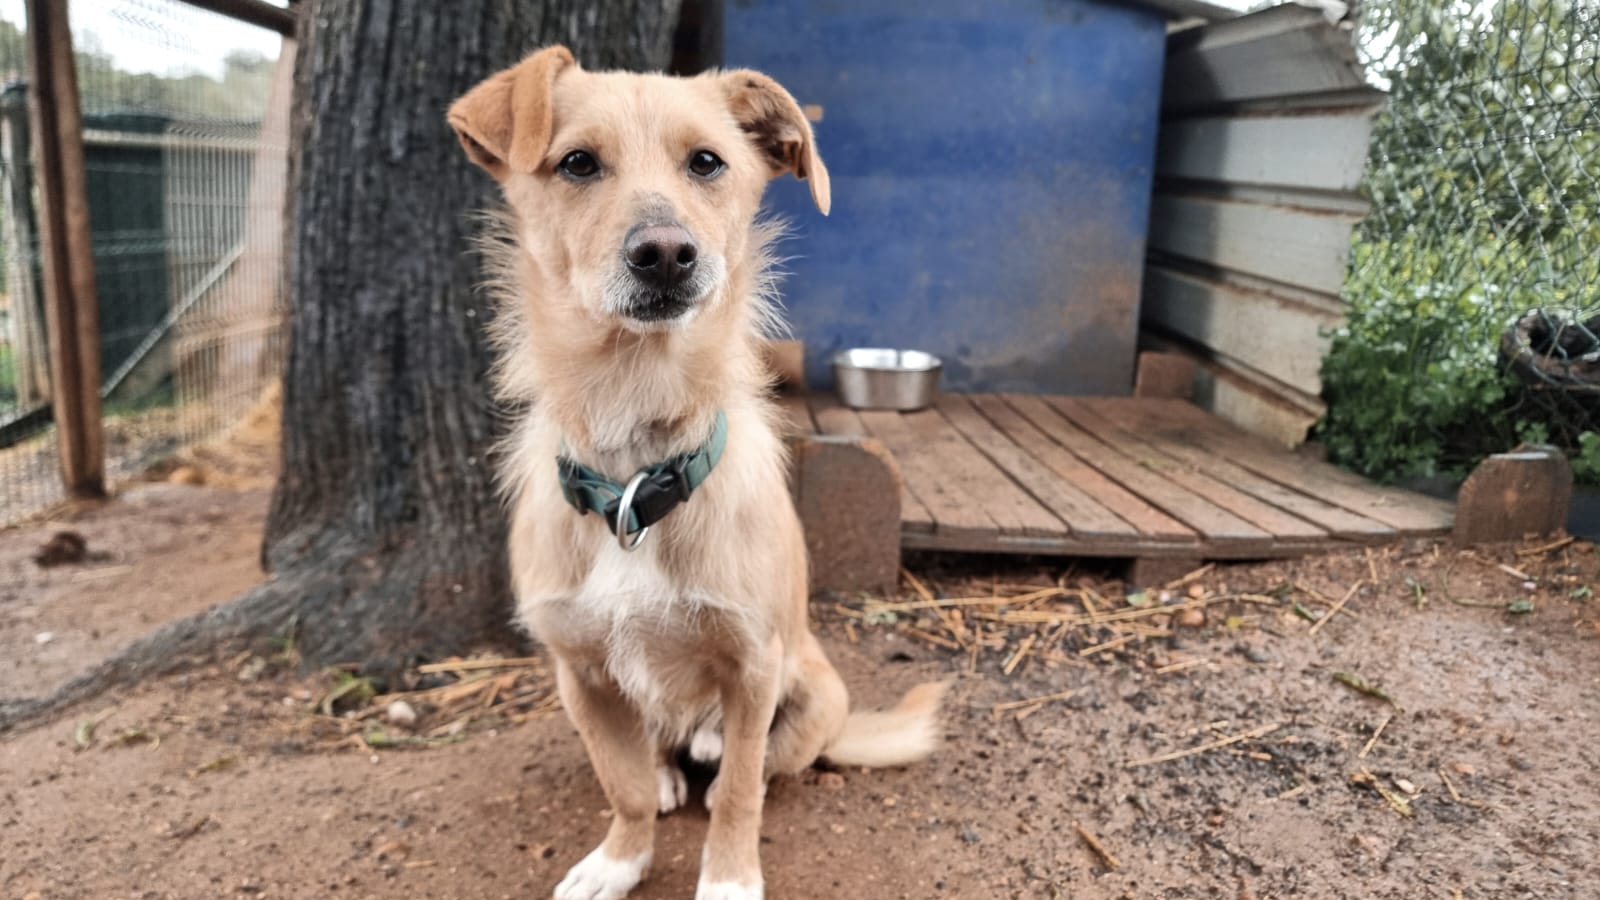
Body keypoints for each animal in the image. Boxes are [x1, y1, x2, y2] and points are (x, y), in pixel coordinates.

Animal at [448, 47, 946, 900]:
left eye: (708, 162)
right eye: (577, 162)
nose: (666, 253)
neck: (633, 475)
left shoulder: (752, 667)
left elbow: (742, 791)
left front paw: (729, 877)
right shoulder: (579, 674)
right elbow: (620, 785)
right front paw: (620, 859)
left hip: (816, 688)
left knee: (759, 762)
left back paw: (711, 757)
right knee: (654, 755)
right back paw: (668, 771)